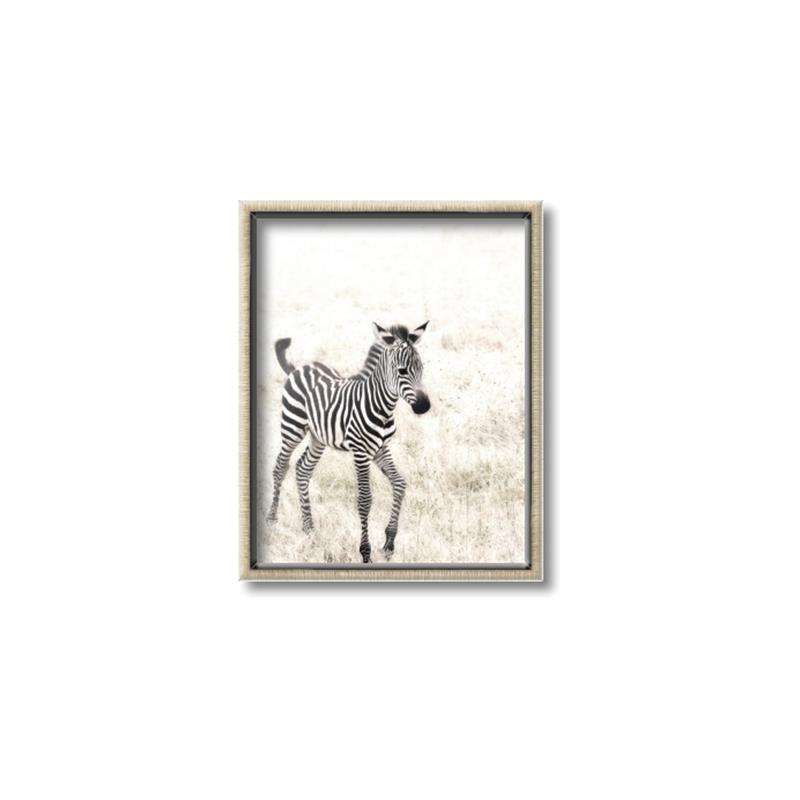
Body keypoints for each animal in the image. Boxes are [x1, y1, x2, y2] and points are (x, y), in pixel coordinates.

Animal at [267, 321, 431, 563]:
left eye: (421, 369)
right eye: (402, 371)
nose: (424, 407)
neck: (381, 407)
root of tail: (298, 368)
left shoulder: (381, 448)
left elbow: (400, 483)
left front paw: (389, 543)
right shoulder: (361, 452)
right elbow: (364, 500)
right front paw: (365, 552)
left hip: (318, 437)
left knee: (303, 469)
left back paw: (309, 528)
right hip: (292, 426)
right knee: (280, 467)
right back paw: (271, 519)